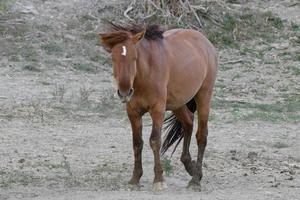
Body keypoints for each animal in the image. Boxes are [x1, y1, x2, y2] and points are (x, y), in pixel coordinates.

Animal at [98, 22, 218, 191]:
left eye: (134, 58)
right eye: (113, 59)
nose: (124, 92)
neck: (145, 73)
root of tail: (204, 41)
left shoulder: (157, 110)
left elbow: (155, 141)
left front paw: (159, 179)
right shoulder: (133, 112)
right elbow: (137, 143)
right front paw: (135, 179)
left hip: (203, 97)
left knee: (201, 136)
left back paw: (195, 180)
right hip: (177, 103)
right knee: (188, 122)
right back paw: (191, 167)